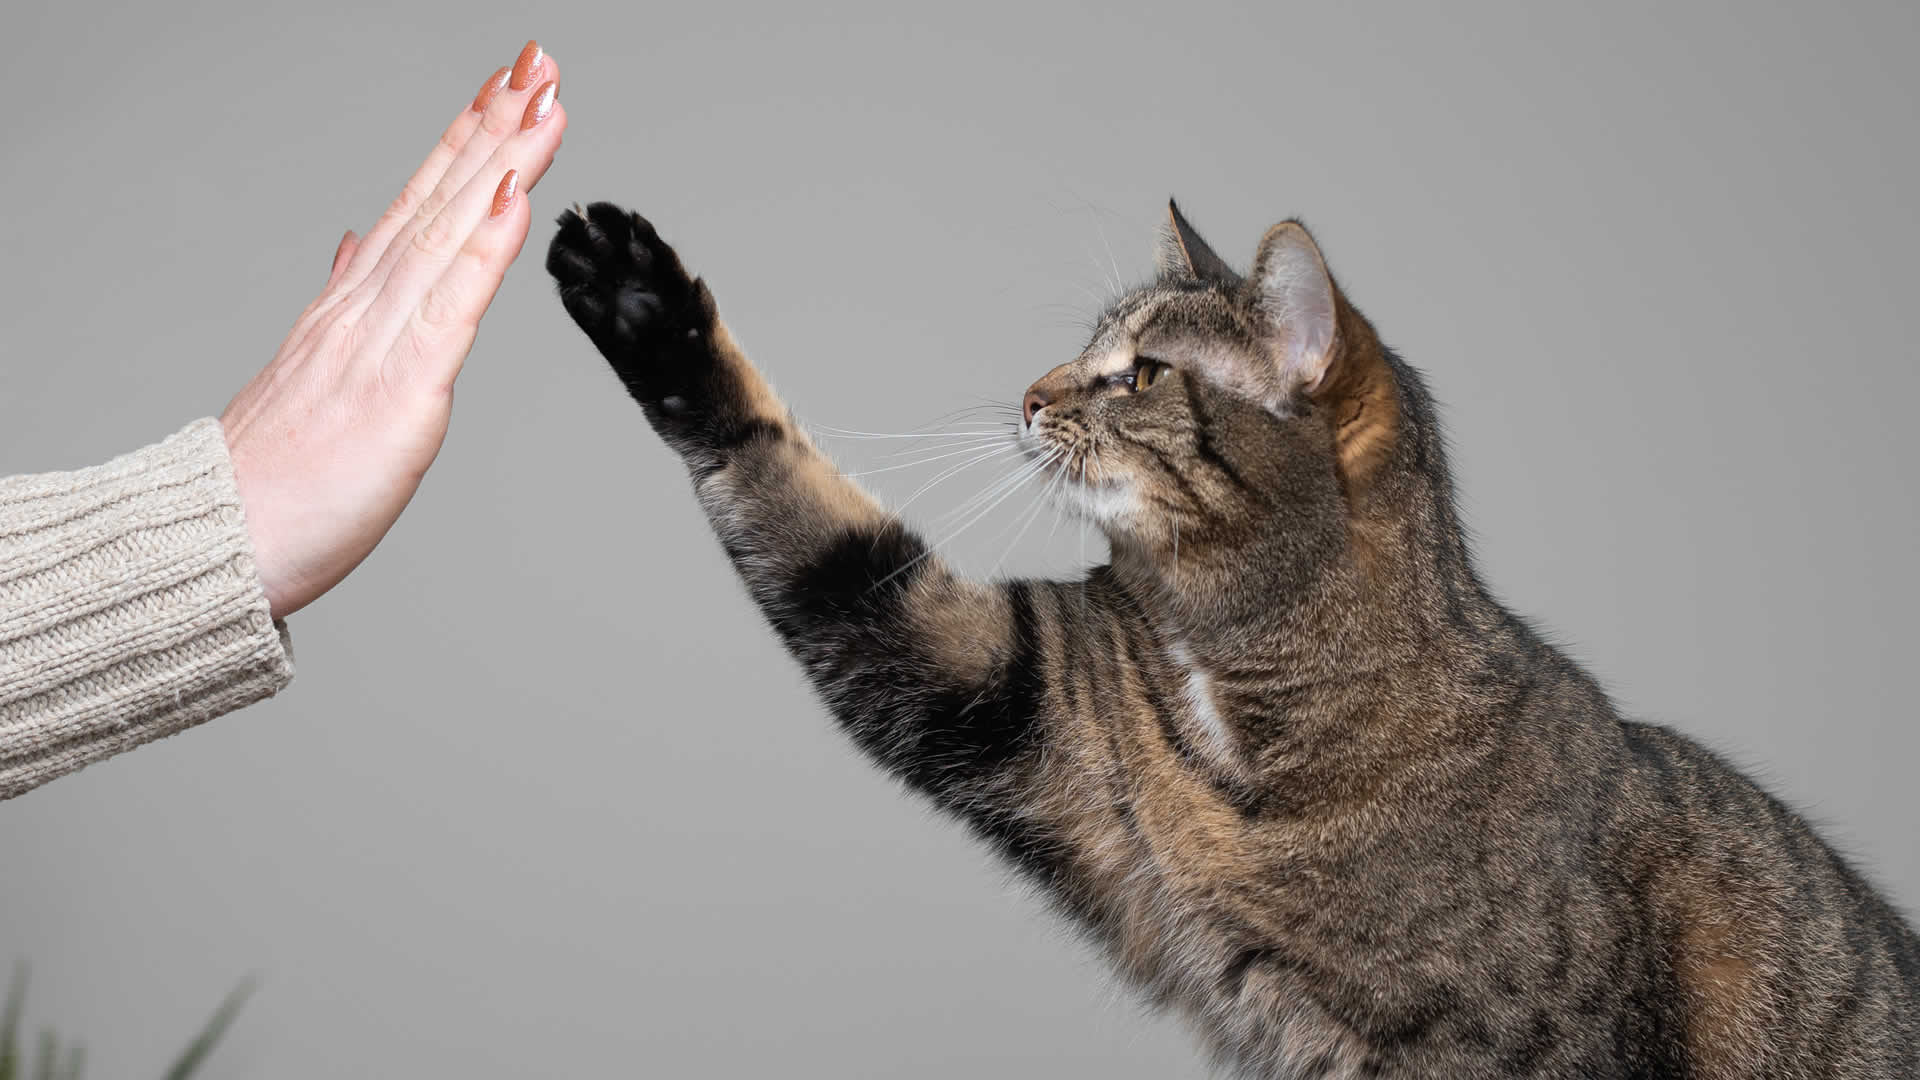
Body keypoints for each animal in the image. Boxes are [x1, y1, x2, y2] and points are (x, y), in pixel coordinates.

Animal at [549, 197, 1912, 1068]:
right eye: (1085, 348)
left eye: (1139, 373)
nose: (1029, 395)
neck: (1241, 676)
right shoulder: (1015, 690)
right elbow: (824, 539)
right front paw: (646, 309)